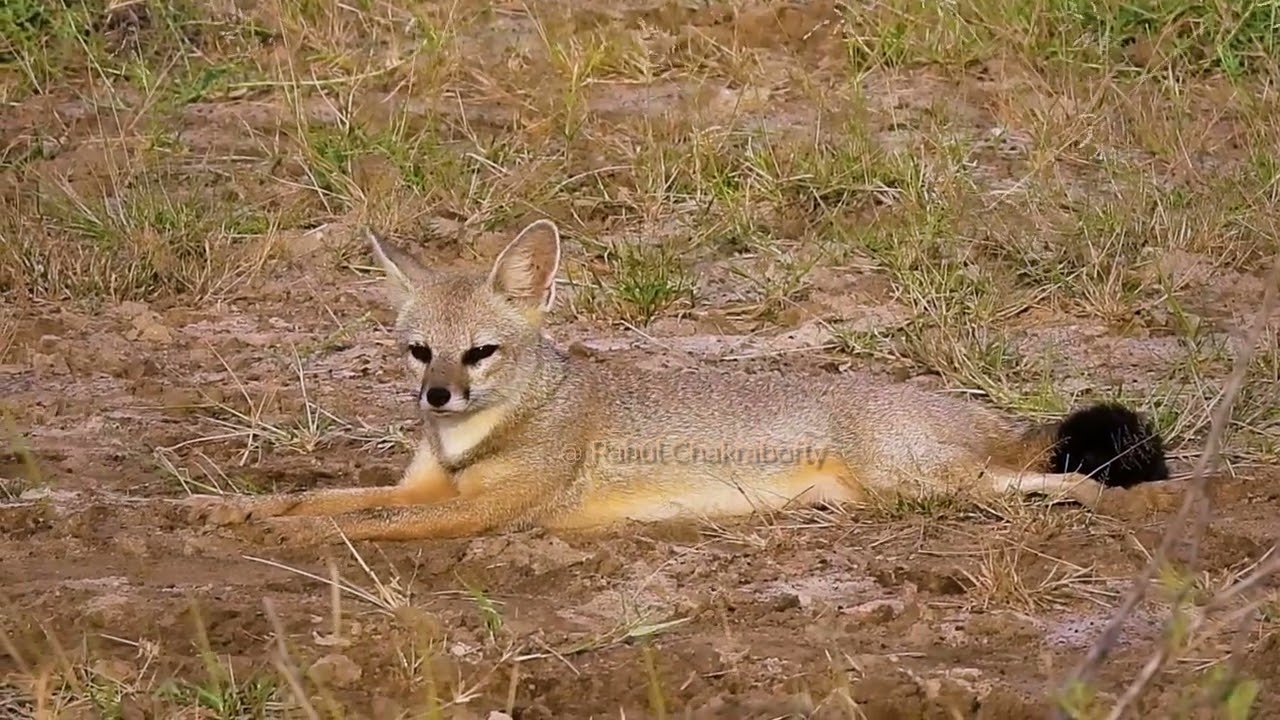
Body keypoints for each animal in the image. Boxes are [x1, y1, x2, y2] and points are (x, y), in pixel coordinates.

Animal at [186, 219, 1171, 545]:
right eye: (419, 352)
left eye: (482, 354)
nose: (437, 399)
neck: (473, 440)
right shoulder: (431, 488)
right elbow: (325, 498)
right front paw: (231, 511)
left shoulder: (480, 512)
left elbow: (364, 522)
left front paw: (292, 540)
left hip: (927, 483)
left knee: (1050, 477)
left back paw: (1119, 501)